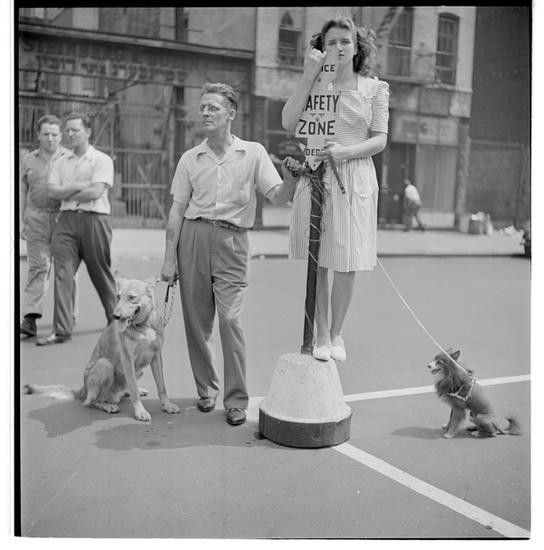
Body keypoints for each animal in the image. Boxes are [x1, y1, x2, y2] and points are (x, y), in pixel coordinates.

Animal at [24, 274, 180, 422]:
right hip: (105, 365)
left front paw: (166, 405)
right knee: (92, 401)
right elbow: (134, 392)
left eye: (131, 297)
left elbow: (161, 386)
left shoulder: (156, 356)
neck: (143, 326)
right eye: (118, 297)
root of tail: (83, 390)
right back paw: (108, 405)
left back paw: (128, 392)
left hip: (138, 371)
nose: (115, 316)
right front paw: (140, 411)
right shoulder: (128, 360)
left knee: (124, 389)